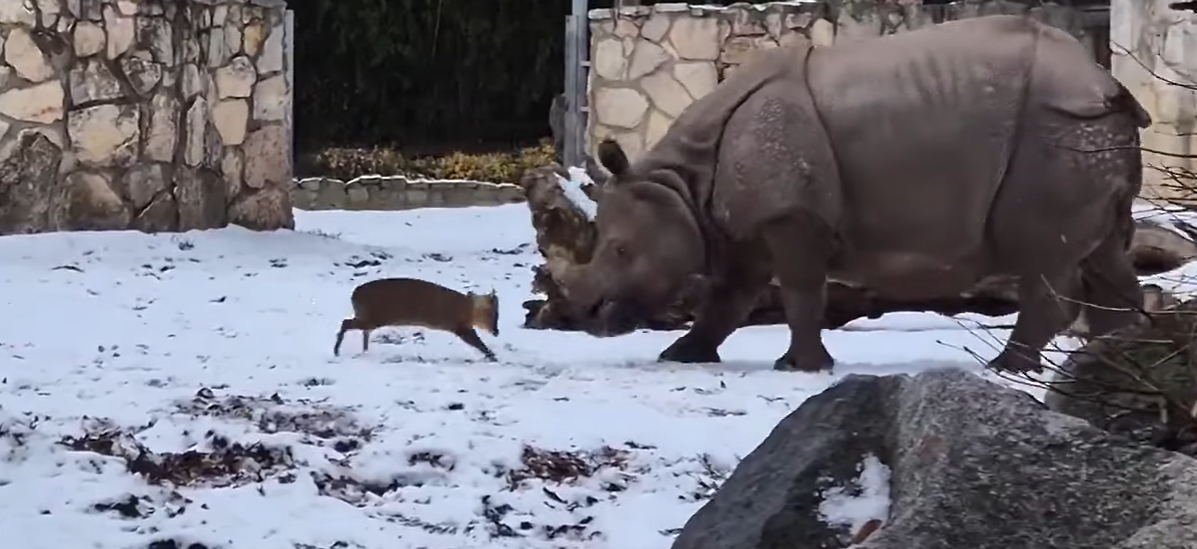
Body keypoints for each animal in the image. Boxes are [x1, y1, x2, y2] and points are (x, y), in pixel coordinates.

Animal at [558, 15, 1153, 374]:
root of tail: (1106, 82)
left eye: (619, 250)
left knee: (1045, 255)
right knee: (1104, 252)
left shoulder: (791, 213)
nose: (583, 315)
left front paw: (800, 368)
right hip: (1088, 135)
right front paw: (680, 356)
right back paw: (1120, 359)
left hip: (1057, 130)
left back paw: (1008, 368)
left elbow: (801, 292)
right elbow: (729, 297)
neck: (683, 183)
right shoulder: (742, 225)